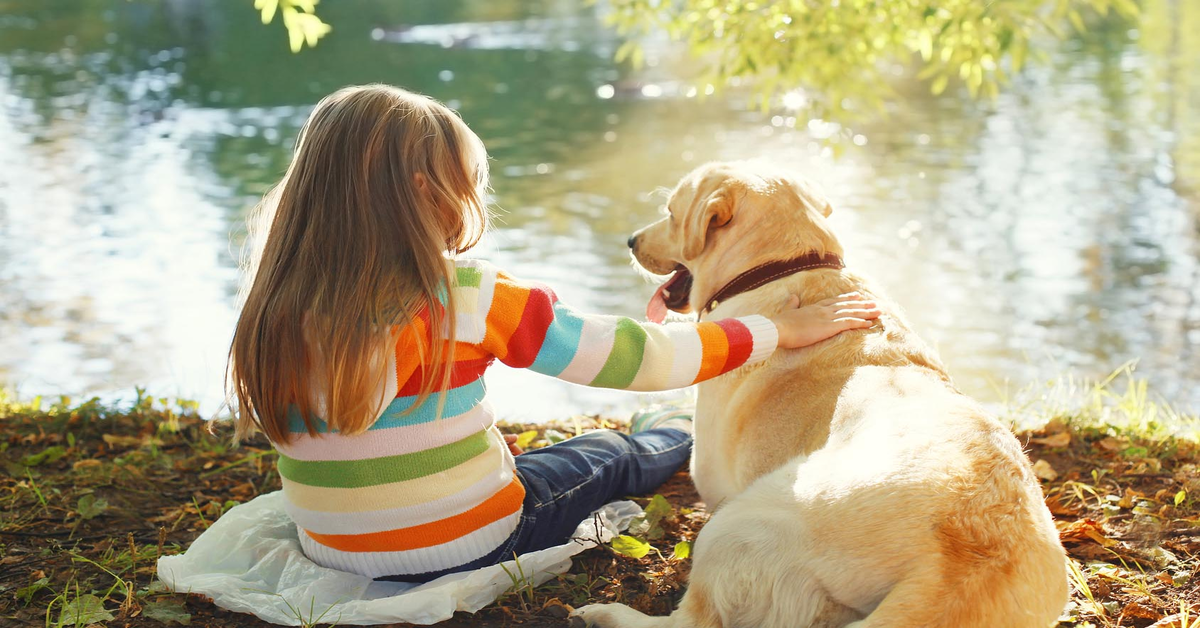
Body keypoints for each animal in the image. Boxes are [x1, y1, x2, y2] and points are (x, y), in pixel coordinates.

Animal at [571, 162, 1070, 628]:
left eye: (672, 213)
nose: (631, 240)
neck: (789, 264)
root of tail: (961, 568)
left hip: (740, 521)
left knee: (692, 620)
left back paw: (606, 613)